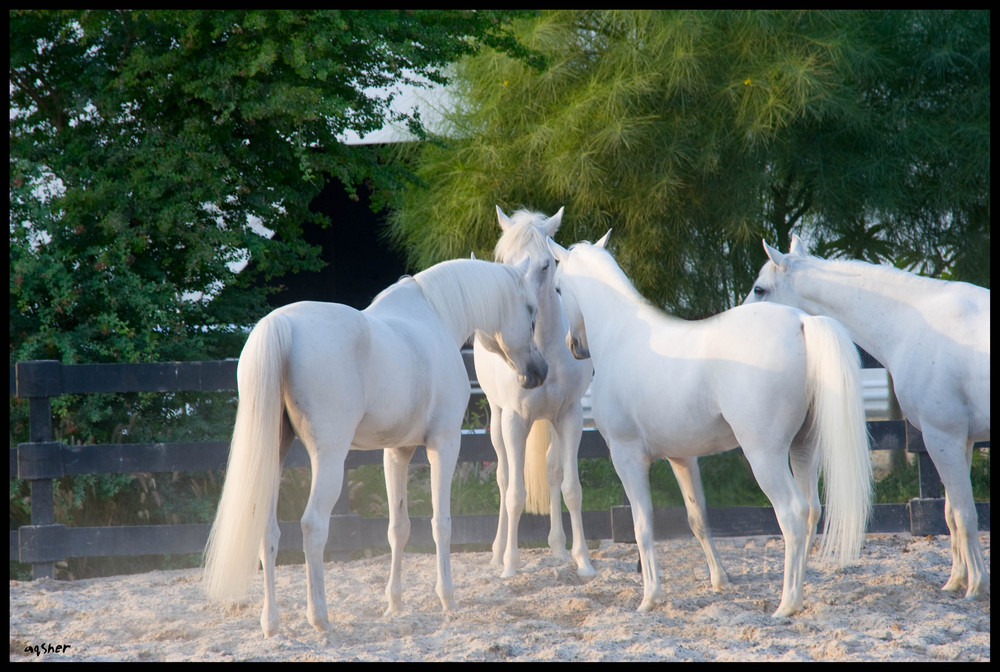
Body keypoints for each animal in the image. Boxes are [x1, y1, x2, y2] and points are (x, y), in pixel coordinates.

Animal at [202, 256, 548, 636]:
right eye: (531, 311)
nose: (539, 371)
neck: (436, 315)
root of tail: (281, 325)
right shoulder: (444, 444)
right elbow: (441, 523)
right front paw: (448, 600)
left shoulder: (397, 452)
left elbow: (398, 528)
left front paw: (394, 605)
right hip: (330, 458)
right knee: (313, 526)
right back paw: (320, 617)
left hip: (274, 455)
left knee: (268, 530)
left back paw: (271, 623)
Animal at [474, 207, 592, 580]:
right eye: (505, 263)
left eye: (544, 265)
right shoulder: (514, 420)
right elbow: (515, 493)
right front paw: (510, 565)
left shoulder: (570, 416)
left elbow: (571, 489)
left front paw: (583, 561)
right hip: (498, 419)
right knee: (503, 478)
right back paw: (498, 553)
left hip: (551, 423)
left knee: (552, 471)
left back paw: (558, 548)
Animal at [552, 234, 872, 616]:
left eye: (557, 288)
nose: (574, 346)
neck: (622, 335)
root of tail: (801, 323)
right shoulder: (682, 457)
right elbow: (698, 519)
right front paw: (719, 582)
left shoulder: (626, 456)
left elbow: (643, 525)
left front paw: (650, 597)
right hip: (803, 448)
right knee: (811, 511)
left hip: (764, 456)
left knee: (792, 514)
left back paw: (787, 604)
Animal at [748, 235, 988, 600]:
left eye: (759, 289)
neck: (916, 323)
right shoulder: (961, 441)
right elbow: (950, 514)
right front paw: (955, 581)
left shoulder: (941, 437)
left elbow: (964, 514)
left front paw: (975, 586)